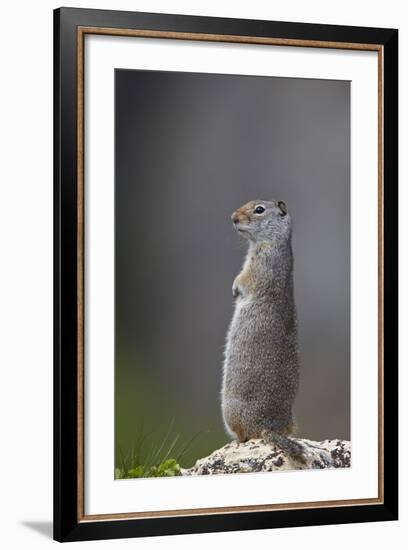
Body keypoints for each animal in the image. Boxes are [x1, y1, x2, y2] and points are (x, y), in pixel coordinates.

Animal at [222, 201, 304, 464]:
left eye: (259, 209)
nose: (233, 218)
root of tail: (269, 427)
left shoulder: (260, 263)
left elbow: (245, 279)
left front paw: (234, 289)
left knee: (245, 435)